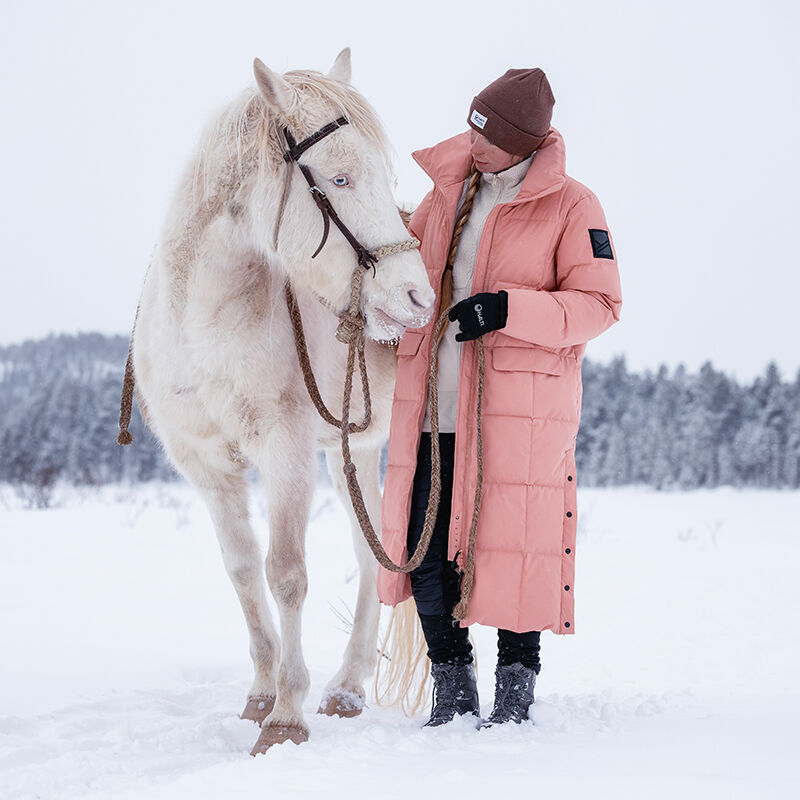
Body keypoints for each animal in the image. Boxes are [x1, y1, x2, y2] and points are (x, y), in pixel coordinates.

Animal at [128, 51, 434, 756]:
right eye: (341, 177)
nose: (417, 298)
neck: (204, 325)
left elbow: (287, 572)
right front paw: (263, 693)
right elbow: (243, 570)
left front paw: (286, 719)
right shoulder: (205, 466)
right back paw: (347, 689)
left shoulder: (285, 451)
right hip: (354, 454)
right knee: (369, 555)